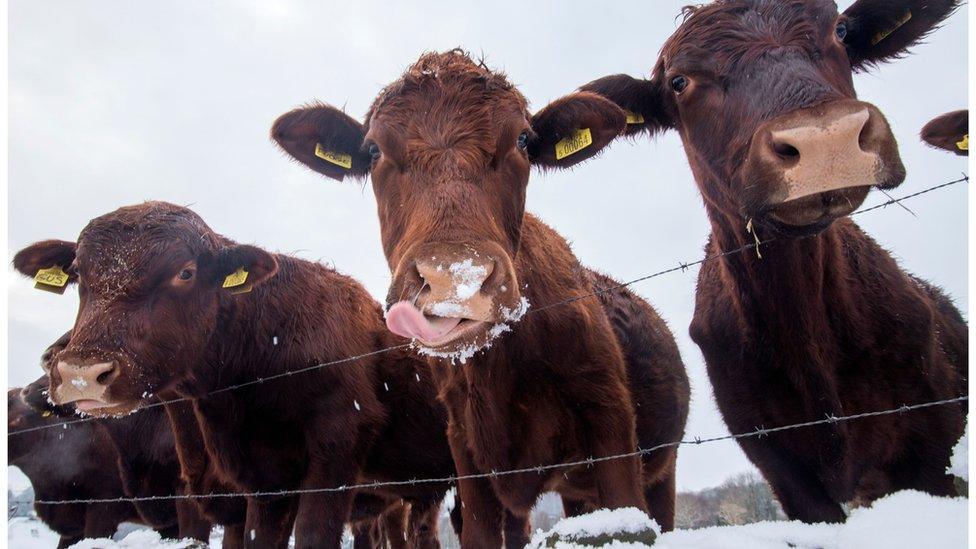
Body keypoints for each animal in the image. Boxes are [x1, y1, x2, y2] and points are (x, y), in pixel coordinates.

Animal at [270, 49, 692, 544]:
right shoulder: (466, 449)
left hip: (663, 469)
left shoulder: (610, 418)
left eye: (524, 140)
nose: (454, 278)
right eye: (373, 150)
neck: (499, 370)